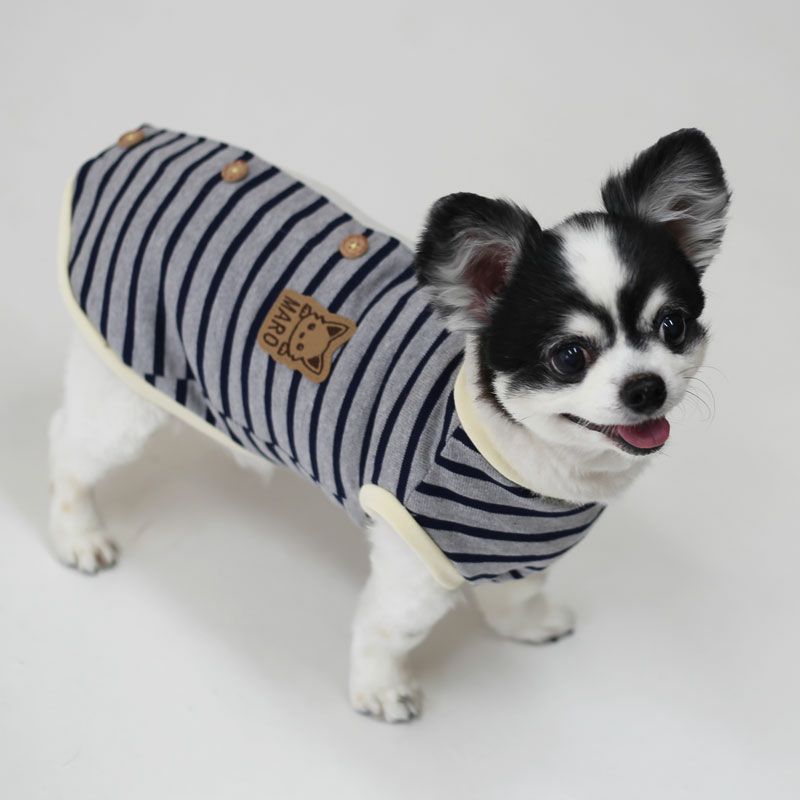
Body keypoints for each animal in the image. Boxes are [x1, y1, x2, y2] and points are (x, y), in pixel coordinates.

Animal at [49, 126, 729, 722]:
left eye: (672, 326)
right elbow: (388, 628)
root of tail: (129, 141)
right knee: (70, 449)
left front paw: (524, 624)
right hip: (125, 382)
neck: (534, 471)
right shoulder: (414, 559)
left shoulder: (524, 550)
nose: (646, 386)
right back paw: (78, 533)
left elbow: (516, 589)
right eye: (570, 356)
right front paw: (379, 689)